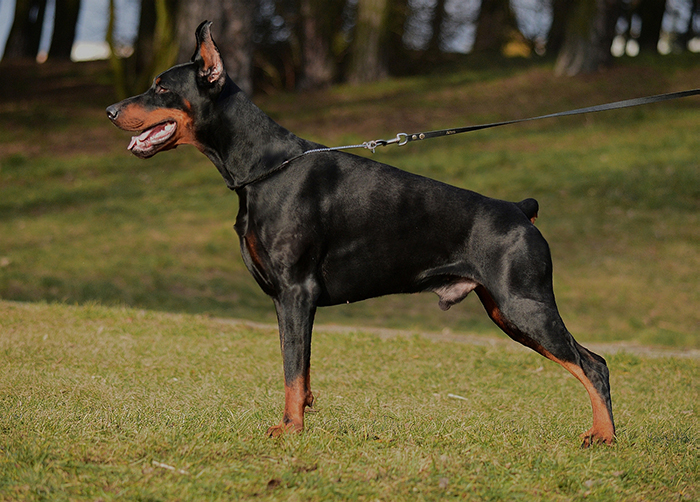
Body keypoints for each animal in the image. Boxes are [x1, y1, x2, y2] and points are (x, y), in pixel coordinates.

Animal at [106, 20, 616, 448]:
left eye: (162, 86)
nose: (110, 110)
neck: (262, 167)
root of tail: (519, 211)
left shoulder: (295, 292)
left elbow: (291, 369)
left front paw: (289, 429)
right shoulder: (290, 300)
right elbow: (301, 369)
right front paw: (302, 416)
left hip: (524, 304)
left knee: (594, 364)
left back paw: (605, 437)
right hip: (505, 311)